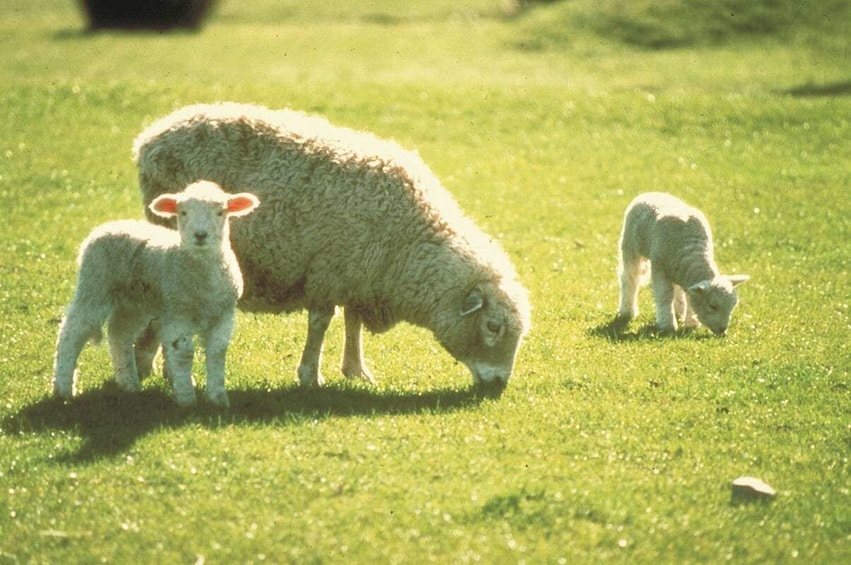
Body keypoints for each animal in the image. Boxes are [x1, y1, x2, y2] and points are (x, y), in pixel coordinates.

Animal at [52, 181, 260, 406]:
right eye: (183, 212)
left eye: (220, 212)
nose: (200, 235)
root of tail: (106, 226)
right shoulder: (177, 312)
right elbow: (183, 353)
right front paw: (186, 398)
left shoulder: (223, 314)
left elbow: (217, 353)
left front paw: (218, 399)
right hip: (94, 285)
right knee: (72, 332)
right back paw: (63, 389)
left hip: (132, 303)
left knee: (119, 334)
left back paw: (129, 384)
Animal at [131, 101, 532, 388]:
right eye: (493, 327)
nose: (499, 384)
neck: (409, 240)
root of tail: (150, 137)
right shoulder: (329, 269)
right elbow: (321, 323)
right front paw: (311, 374)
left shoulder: (359, 273)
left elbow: (352, 322)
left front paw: (356, 370)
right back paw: (159, 368)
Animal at [616, 193, 748, 334]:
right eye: (712, 306)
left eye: (733, 306)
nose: (722, 330)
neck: (692, 251)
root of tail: (650, 193)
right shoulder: (659, 266)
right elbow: (665, 295)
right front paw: (667, 325)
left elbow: (689, 296)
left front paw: (691, 323)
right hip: (630, 245)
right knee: (630, 277)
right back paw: (627, 311)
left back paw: (678, 311)